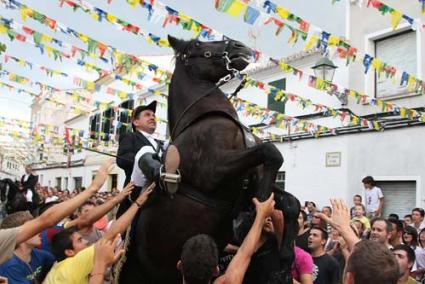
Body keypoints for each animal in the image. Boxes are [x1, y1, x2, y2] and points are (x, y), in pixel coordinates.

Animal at [117, 36, 298, 282]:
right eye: (197, 46)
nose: (240, 47)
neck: (204, 117)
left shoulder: (248, 181)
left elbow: (291, 202)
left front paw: (286, 262)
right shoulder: (214, 169)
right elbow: (271, 152)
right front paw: (253, 217)